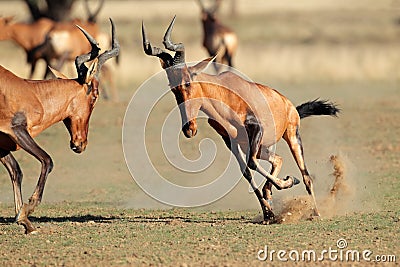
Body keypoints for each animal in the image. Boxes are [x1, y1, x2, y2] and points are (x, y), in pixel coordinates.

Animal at [0, 18, 119, 234]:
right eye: (95, 95)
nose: (80, 144)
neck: (29, 91)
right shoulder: (17, 130)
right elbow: (47, 161)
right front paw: (27, 211)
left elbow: (16, 171)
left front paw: (25, 221)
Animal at [142, 15, 340, 223]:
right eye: (172, 87)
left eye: (188, 81)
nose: (189, 129)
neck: (224, 93)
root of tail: (290, 105)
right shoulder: (231, 141)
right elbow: (246, 171)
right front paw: (268, 213)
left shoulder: (255, 128)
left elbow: (251, 164)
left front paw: (287, 183)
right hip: (257, 146)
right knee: (277, 159)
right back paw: (272, 193)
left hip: (292, 136)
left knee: (306, 176)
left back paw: (315, 212)